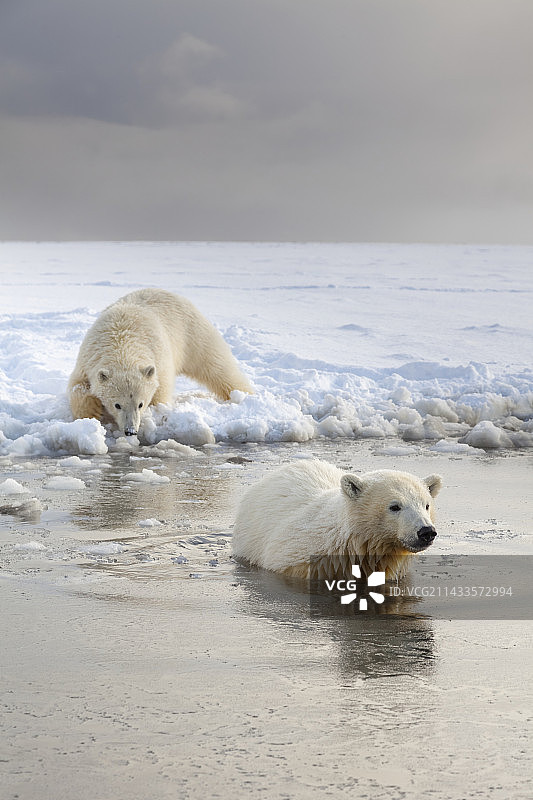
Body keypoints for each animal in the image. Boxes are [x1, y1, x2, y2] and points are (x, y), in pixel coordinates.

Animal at [68, 288, 253, 436]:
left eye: (140, 404)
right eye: (117, 405)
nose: (130, 431)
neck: (122, 343)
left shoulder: (159, 362)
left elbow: (160, 392)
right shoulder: (88, 359)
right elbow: (78, 386)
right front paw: (91, 414)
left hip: (193, 334)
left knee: (215, 366)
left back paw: (244, 394)